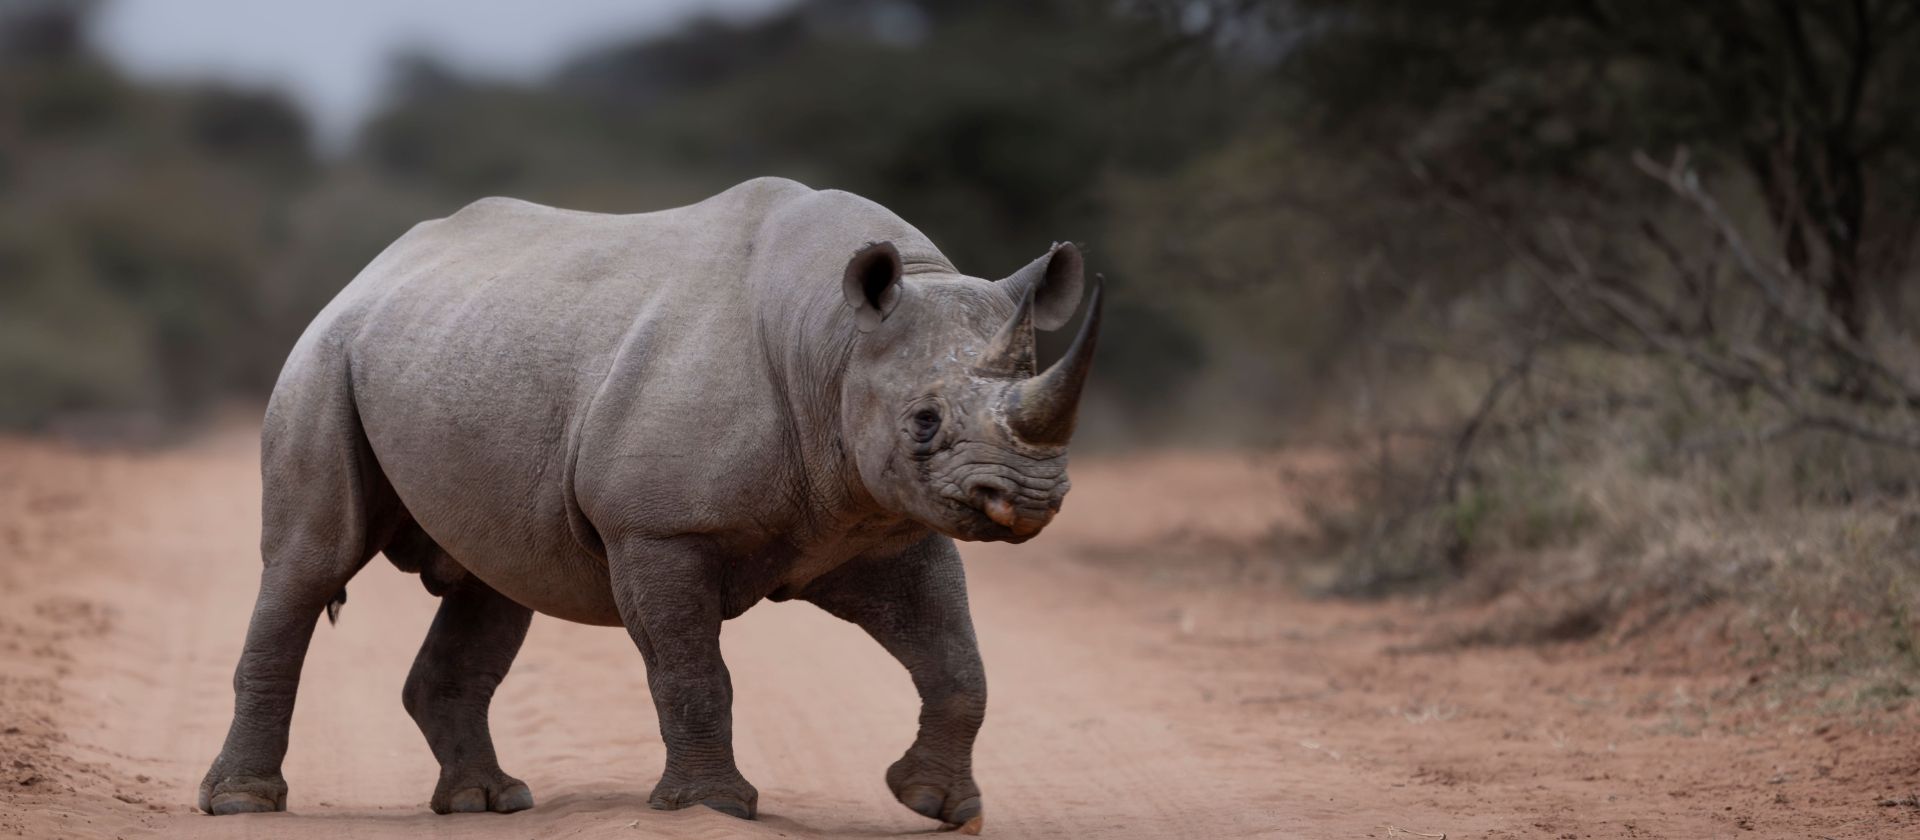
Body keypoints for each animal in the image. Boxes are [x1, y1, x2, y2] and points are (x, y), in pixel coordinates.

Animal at [197, 177, 1102, 831]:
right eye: (924, 423)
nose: (1026, 498)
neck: (836, 341)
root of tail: (370, 271)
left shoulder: (885, 525)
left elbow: (957, 658)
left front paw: (937, 805)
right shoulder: (660, 529)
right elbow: (693, 670)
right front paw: (714, 807)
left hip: (455, 351)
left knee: (495, 582)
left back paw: (489, 803)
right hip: (324, 358)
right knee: (310, 562)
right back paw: (242, 804)